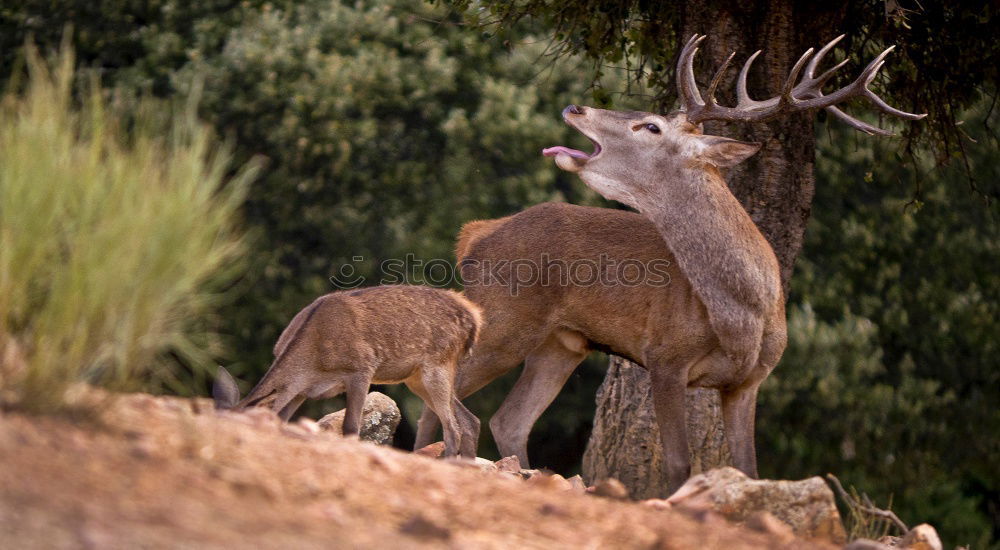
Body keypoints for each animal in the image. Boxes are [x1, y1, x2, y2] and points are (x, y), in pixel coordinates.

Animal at [216, 286, 484, 460]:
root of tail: (474, 319)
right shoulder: (301, 390)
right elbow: (282, 419)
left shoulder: (361, 369)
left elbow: (351, 426)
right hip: (416, 378)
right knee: (469, 420)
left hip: (437, 365)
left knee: (452, 429)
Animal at [414, 34, 920, 492]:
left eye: (652, 126)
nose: (575, 108)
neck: (744, 313)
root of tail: (474, 235)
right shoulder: (665, 357)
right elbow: (679, 464)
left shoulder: (749, 381)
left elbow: (749, 470)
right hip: (504, 317)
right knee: (438, 399)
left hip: (560, 343)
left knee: (509, 418)